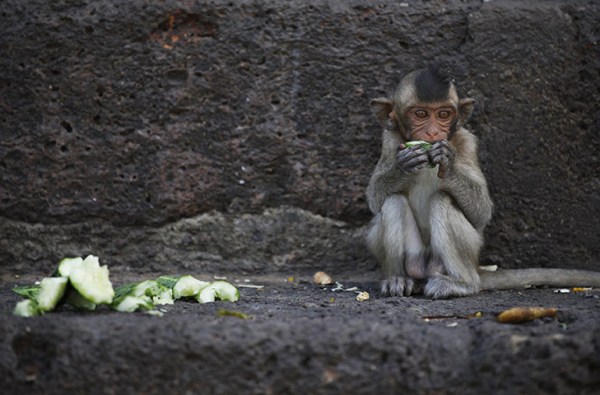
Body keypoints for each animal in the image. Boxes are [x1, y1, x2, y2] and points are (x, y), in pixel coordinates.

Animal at [368, 65, 600, 300]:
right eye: (421, 114)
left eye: (443, 114)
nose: (433, 132)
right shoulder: (390, 140)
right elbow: (374, 198)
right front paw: (403, 165)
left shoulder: (467, 142)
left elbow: (482, 213)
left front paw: (447, 163)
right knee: (393, 202)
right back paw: (399, 279)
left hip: (470, 249)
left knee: (442, 201)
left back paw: (463, 284)